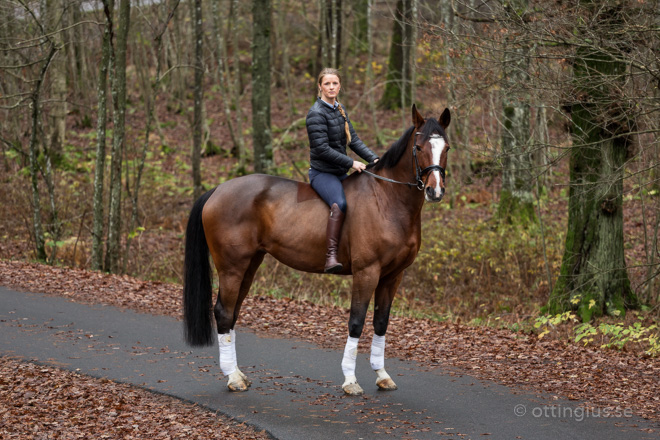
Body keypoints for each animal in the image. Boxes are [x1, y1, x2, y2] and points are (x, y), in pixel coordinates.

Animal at [186, 105, 452, 396]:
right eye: (418, 147)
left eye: (446, 147)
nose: (434, 190)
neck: (387, 199)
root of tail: (218, 190)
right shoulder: (367, 272)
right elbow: (356, 322)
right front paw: (350, 380)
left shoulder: (393, 276)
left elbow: (381, 322)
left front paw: (382, 375)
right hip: (231, 267)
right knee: (223, 312)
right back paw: (233, 378)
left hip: (249, 265)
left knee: (233, 312)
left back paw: (238, 374)